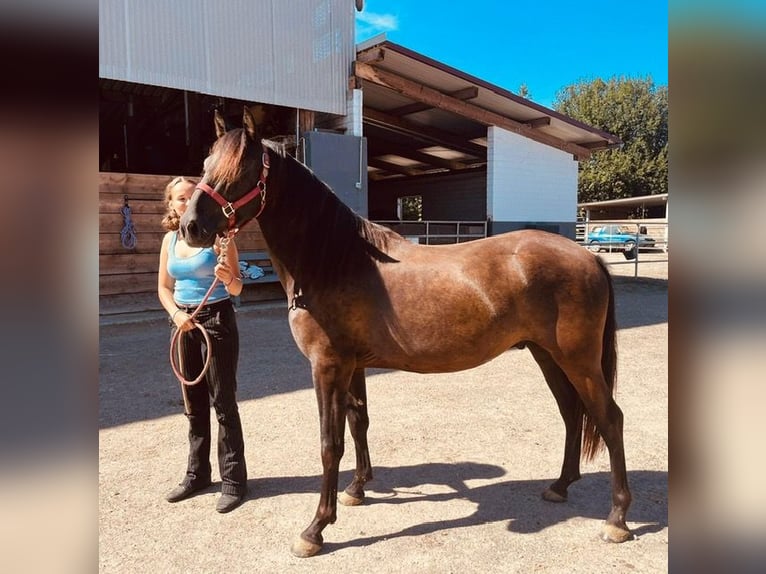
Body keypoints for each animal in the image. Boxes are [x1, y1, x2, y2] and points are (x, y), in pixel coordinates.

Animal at [179, 108, 632, 557]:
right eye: (206, 163)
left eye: (242, 168)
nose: (190, 227)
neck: (334, 259)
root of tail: (589, 258)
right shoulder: (353, 366)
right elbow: (359, 423)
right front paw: (357, 489)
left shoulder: (327, 367)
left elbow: (330, 444)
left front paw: (315, 529)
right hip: (548, 355)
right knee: (573, 414)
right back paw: (560, 486)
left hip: (578, 361)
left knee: (609, 418)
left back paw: (617, 519)